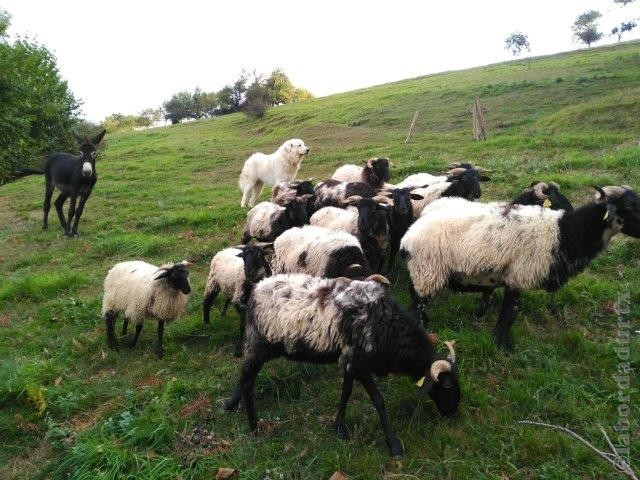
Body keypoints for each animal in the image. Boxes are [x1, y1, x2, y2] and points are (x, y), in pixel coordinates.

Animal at [222, 274, 458, 458]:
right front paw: (394, 445)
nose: (452, 412)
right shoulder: (361, 363)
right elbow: (378, 400)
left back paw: (231, 404)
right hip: (259, 343)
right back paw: (254, 426)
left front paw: (339, 427)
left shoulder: (350, 362)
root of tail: (255, 290)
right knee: (247, 382)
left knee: (243, 376)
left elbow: (346, 391)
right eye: (446, 386)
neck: (388, 327)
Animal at [400, 186, 640, 346]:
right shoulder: (519, 276)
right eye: (628, 205)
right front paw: (500, 344)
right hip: (427, 272)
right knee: (415, 308)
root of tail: (409, 235)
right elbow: (509, 315)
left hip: (423, 275)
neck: (563, 233)